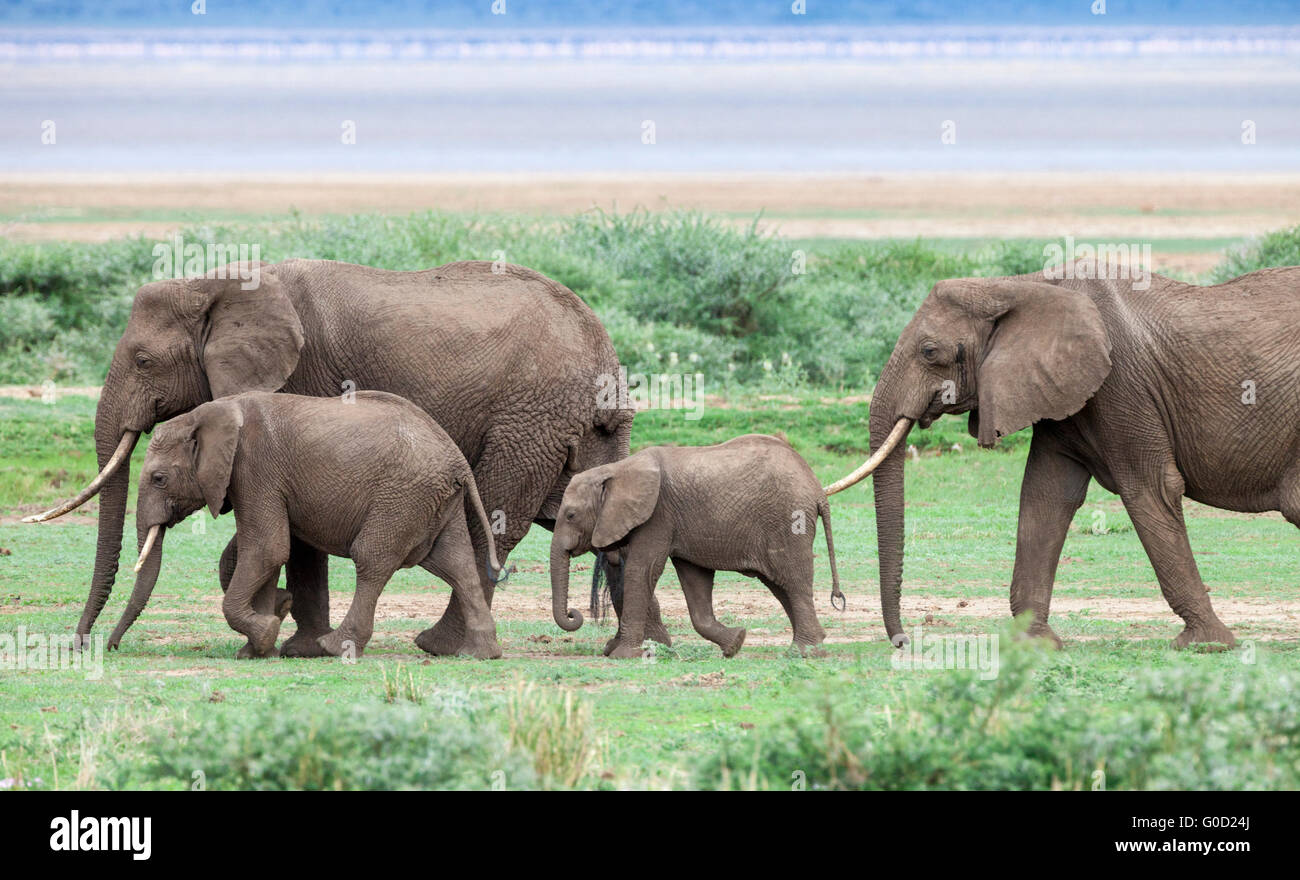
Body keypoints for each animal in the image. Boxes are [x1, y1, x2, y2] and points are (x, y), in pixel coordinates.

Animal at [109, 392, 504, 660]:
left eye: (159, 479)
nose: (112, 646)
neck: (210, 413)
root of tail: (456, 457)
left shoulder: (255, 469)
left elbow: (267, 547)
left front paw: (267, 631)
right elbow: (267, 554)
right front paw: (256, 649)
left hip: (402, 497)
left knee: (372, 560)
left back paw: (333, 647)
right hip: (435, 499)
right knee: (455, 564)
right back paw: (479, 653)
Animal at [548, 436, 842, 655]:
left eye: (571, 515)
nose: (574, 613)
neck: (616, 470)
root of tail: (817, 490)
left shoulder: (657, 515)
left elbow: (641, 571)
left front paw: (623, 655)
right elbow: (694, 580)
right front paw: (736, 643)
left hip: (788, 521)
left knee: (792, 581)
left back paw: (804, 652)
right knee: (779, 585)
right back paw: (814, 642)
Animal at [821, 263, 1300, 649]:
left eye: (929, 352)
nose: (903, 641)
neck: (1018, 285)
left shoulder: (1122, 385)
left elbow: (1151, 488)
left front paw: (1206, 645)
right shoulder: (1057, 389)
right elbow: (1046, 496)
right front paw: (1036, 644)